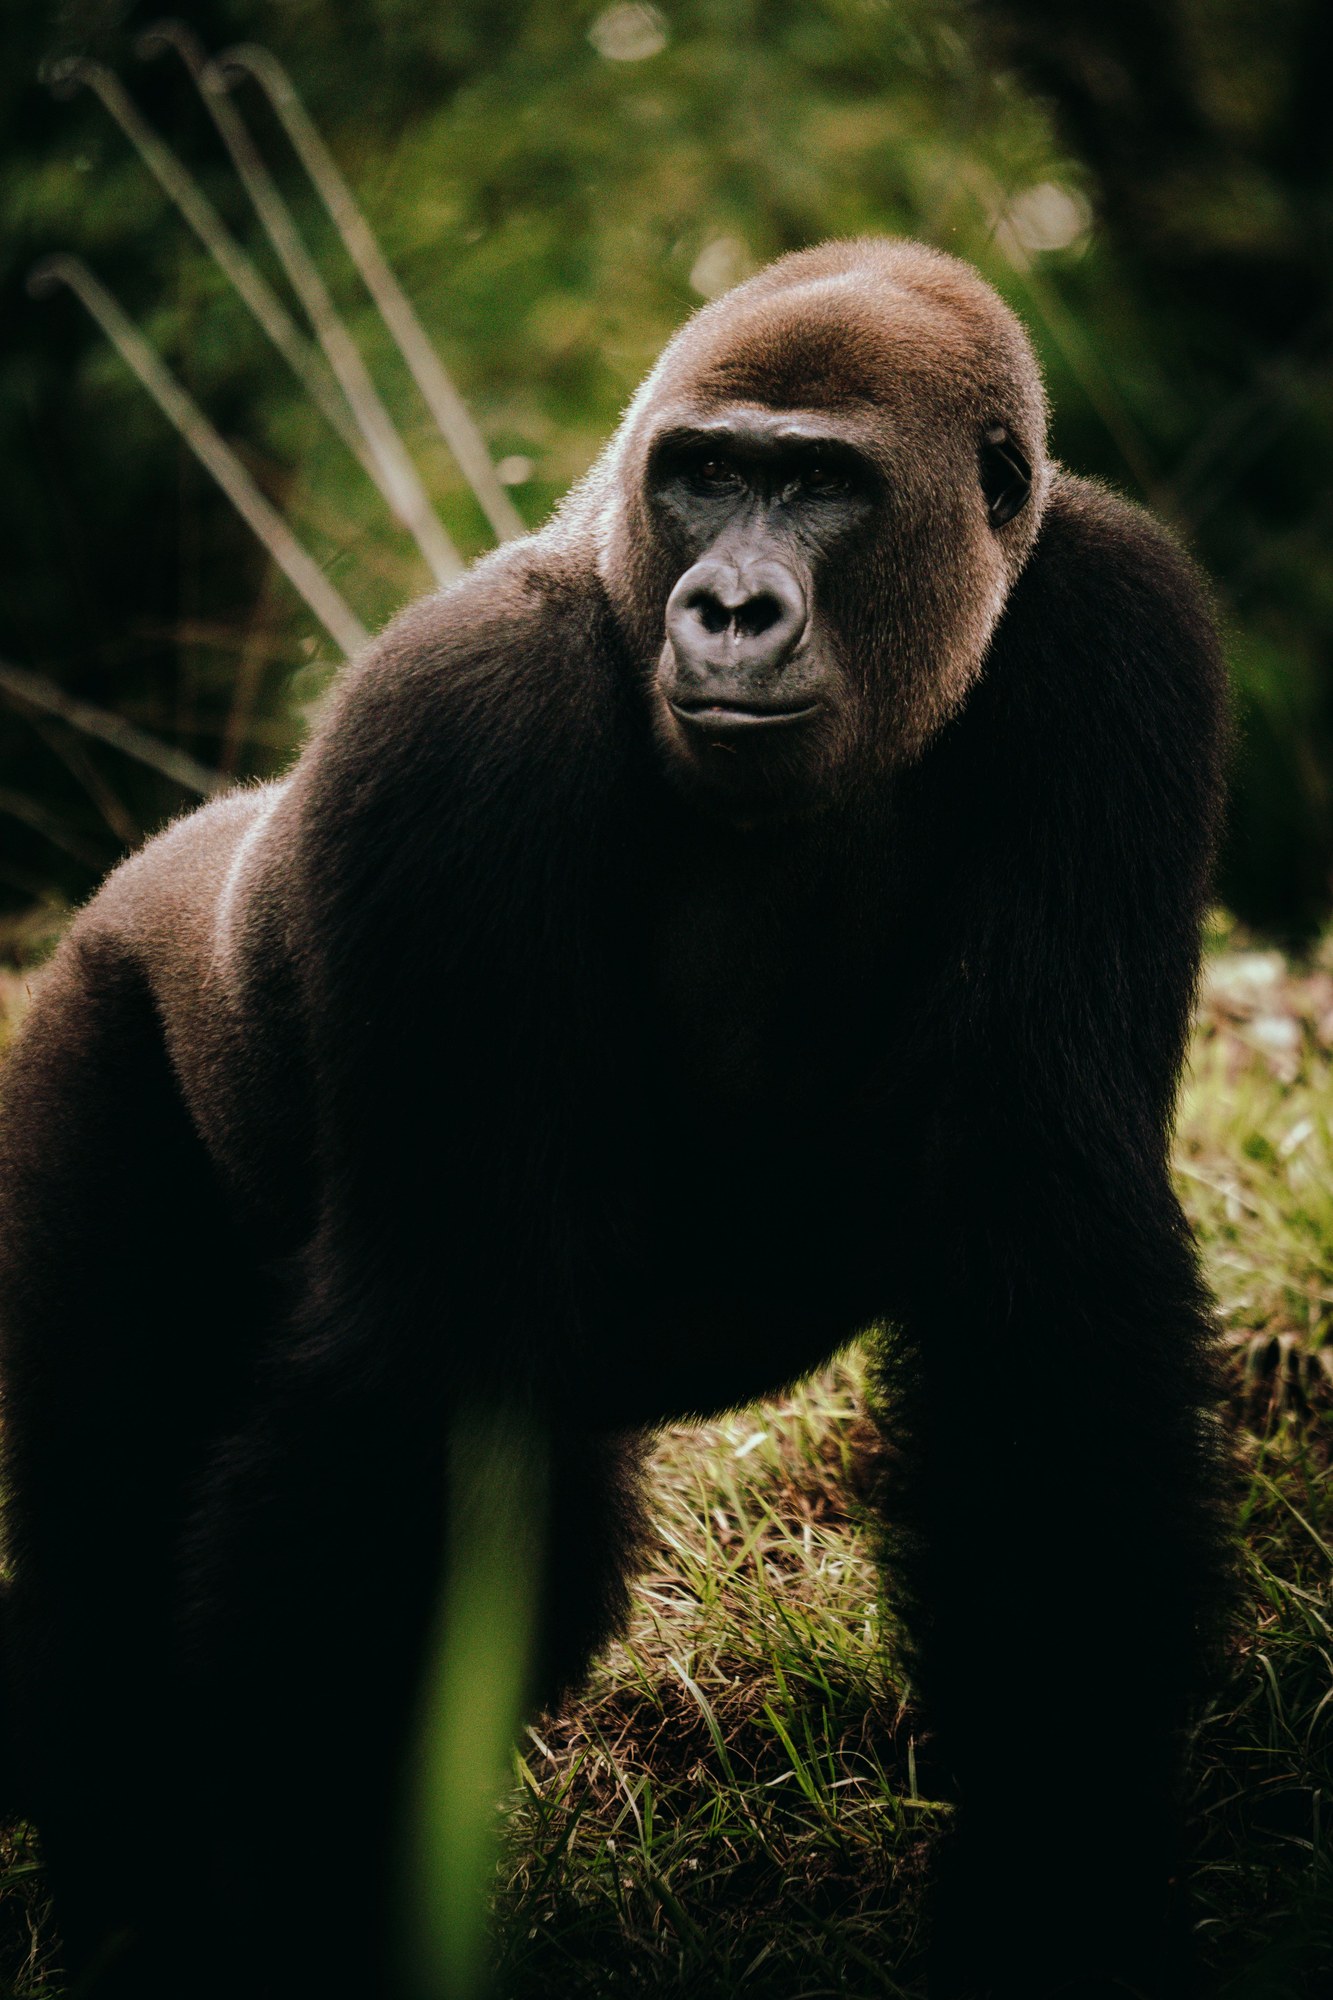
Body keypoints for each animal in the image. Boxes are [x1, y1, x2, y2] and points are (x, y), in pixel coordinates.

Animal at [0, 237, 1232, 1998]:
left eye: (821, 486)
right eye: (705, 474)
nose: (727, 608)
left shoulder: (1117, 634)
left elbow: (1044, 1271)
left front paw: (1065, 1885)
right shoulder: (456, 725)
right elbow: (421, 1356)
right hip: (89, 1019)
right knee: (107, 1524)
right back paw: (129, 1896)